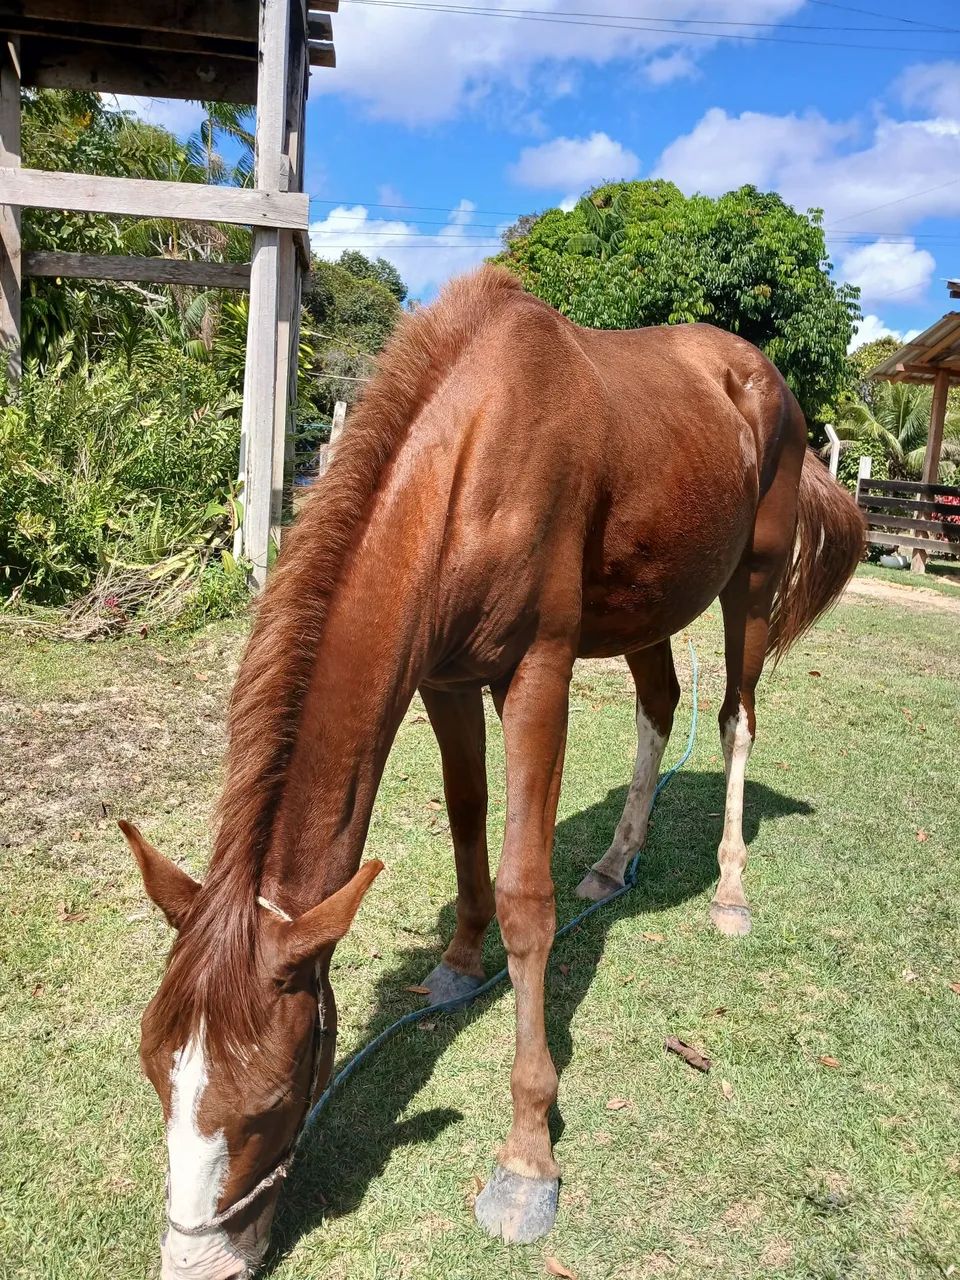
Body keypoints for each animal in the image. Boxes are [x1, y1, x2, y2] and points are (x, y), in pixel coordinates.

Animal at [121, 266, 864, 1278]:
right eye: (156, 1073)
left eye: (272, 1099)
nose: (197, 1265)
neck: (471, 457)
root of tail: (762, 377)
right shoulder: (444, 677)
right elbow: (467, 818)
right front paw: (458, 962)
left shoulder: (536, 676)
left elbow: (525, 895)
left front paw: (526, 1158)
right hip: (649, 604)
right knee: (659, 706)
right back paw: (614, 865)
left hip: (748, 582)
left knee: (733, 721)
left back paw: (729, 891)